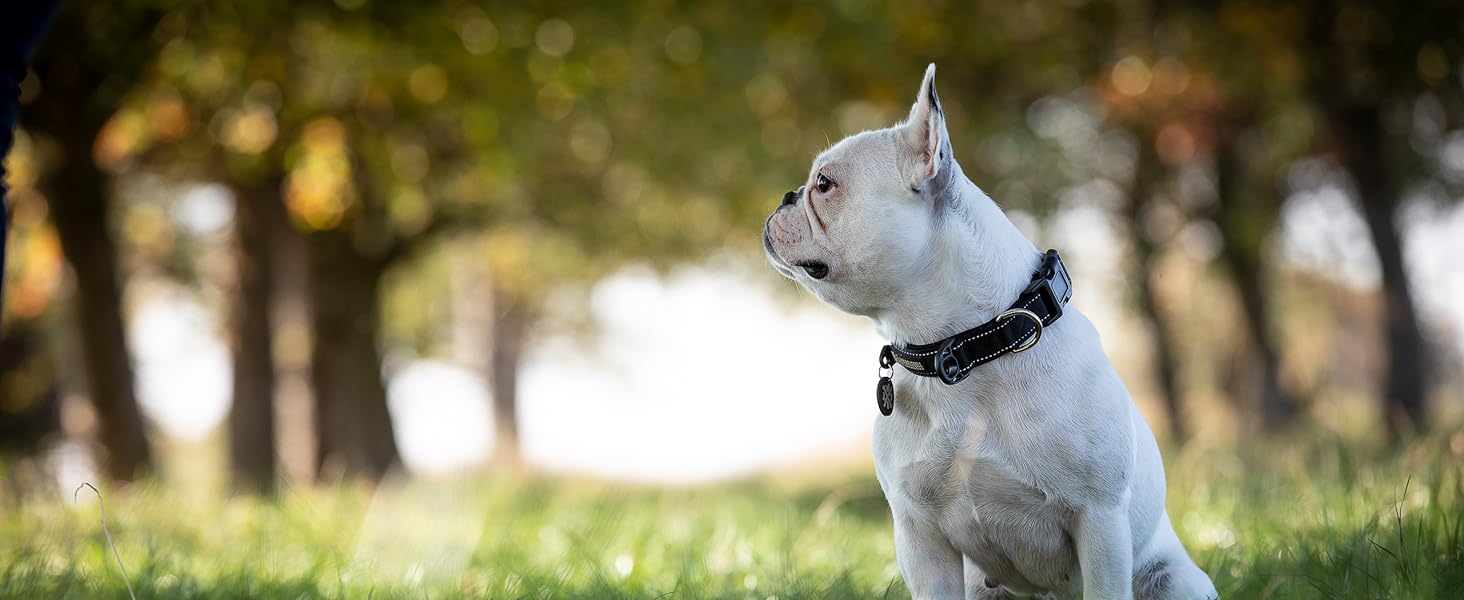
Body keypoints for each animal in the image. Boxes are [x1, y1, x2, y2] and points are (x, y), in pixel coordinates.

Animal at [761, 63, 1218, 597]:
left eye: (825, 184)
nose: (786, 195)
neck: (961, 350)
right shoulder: (919, 536)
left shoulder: (1100, 520)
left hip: (1173, 579)